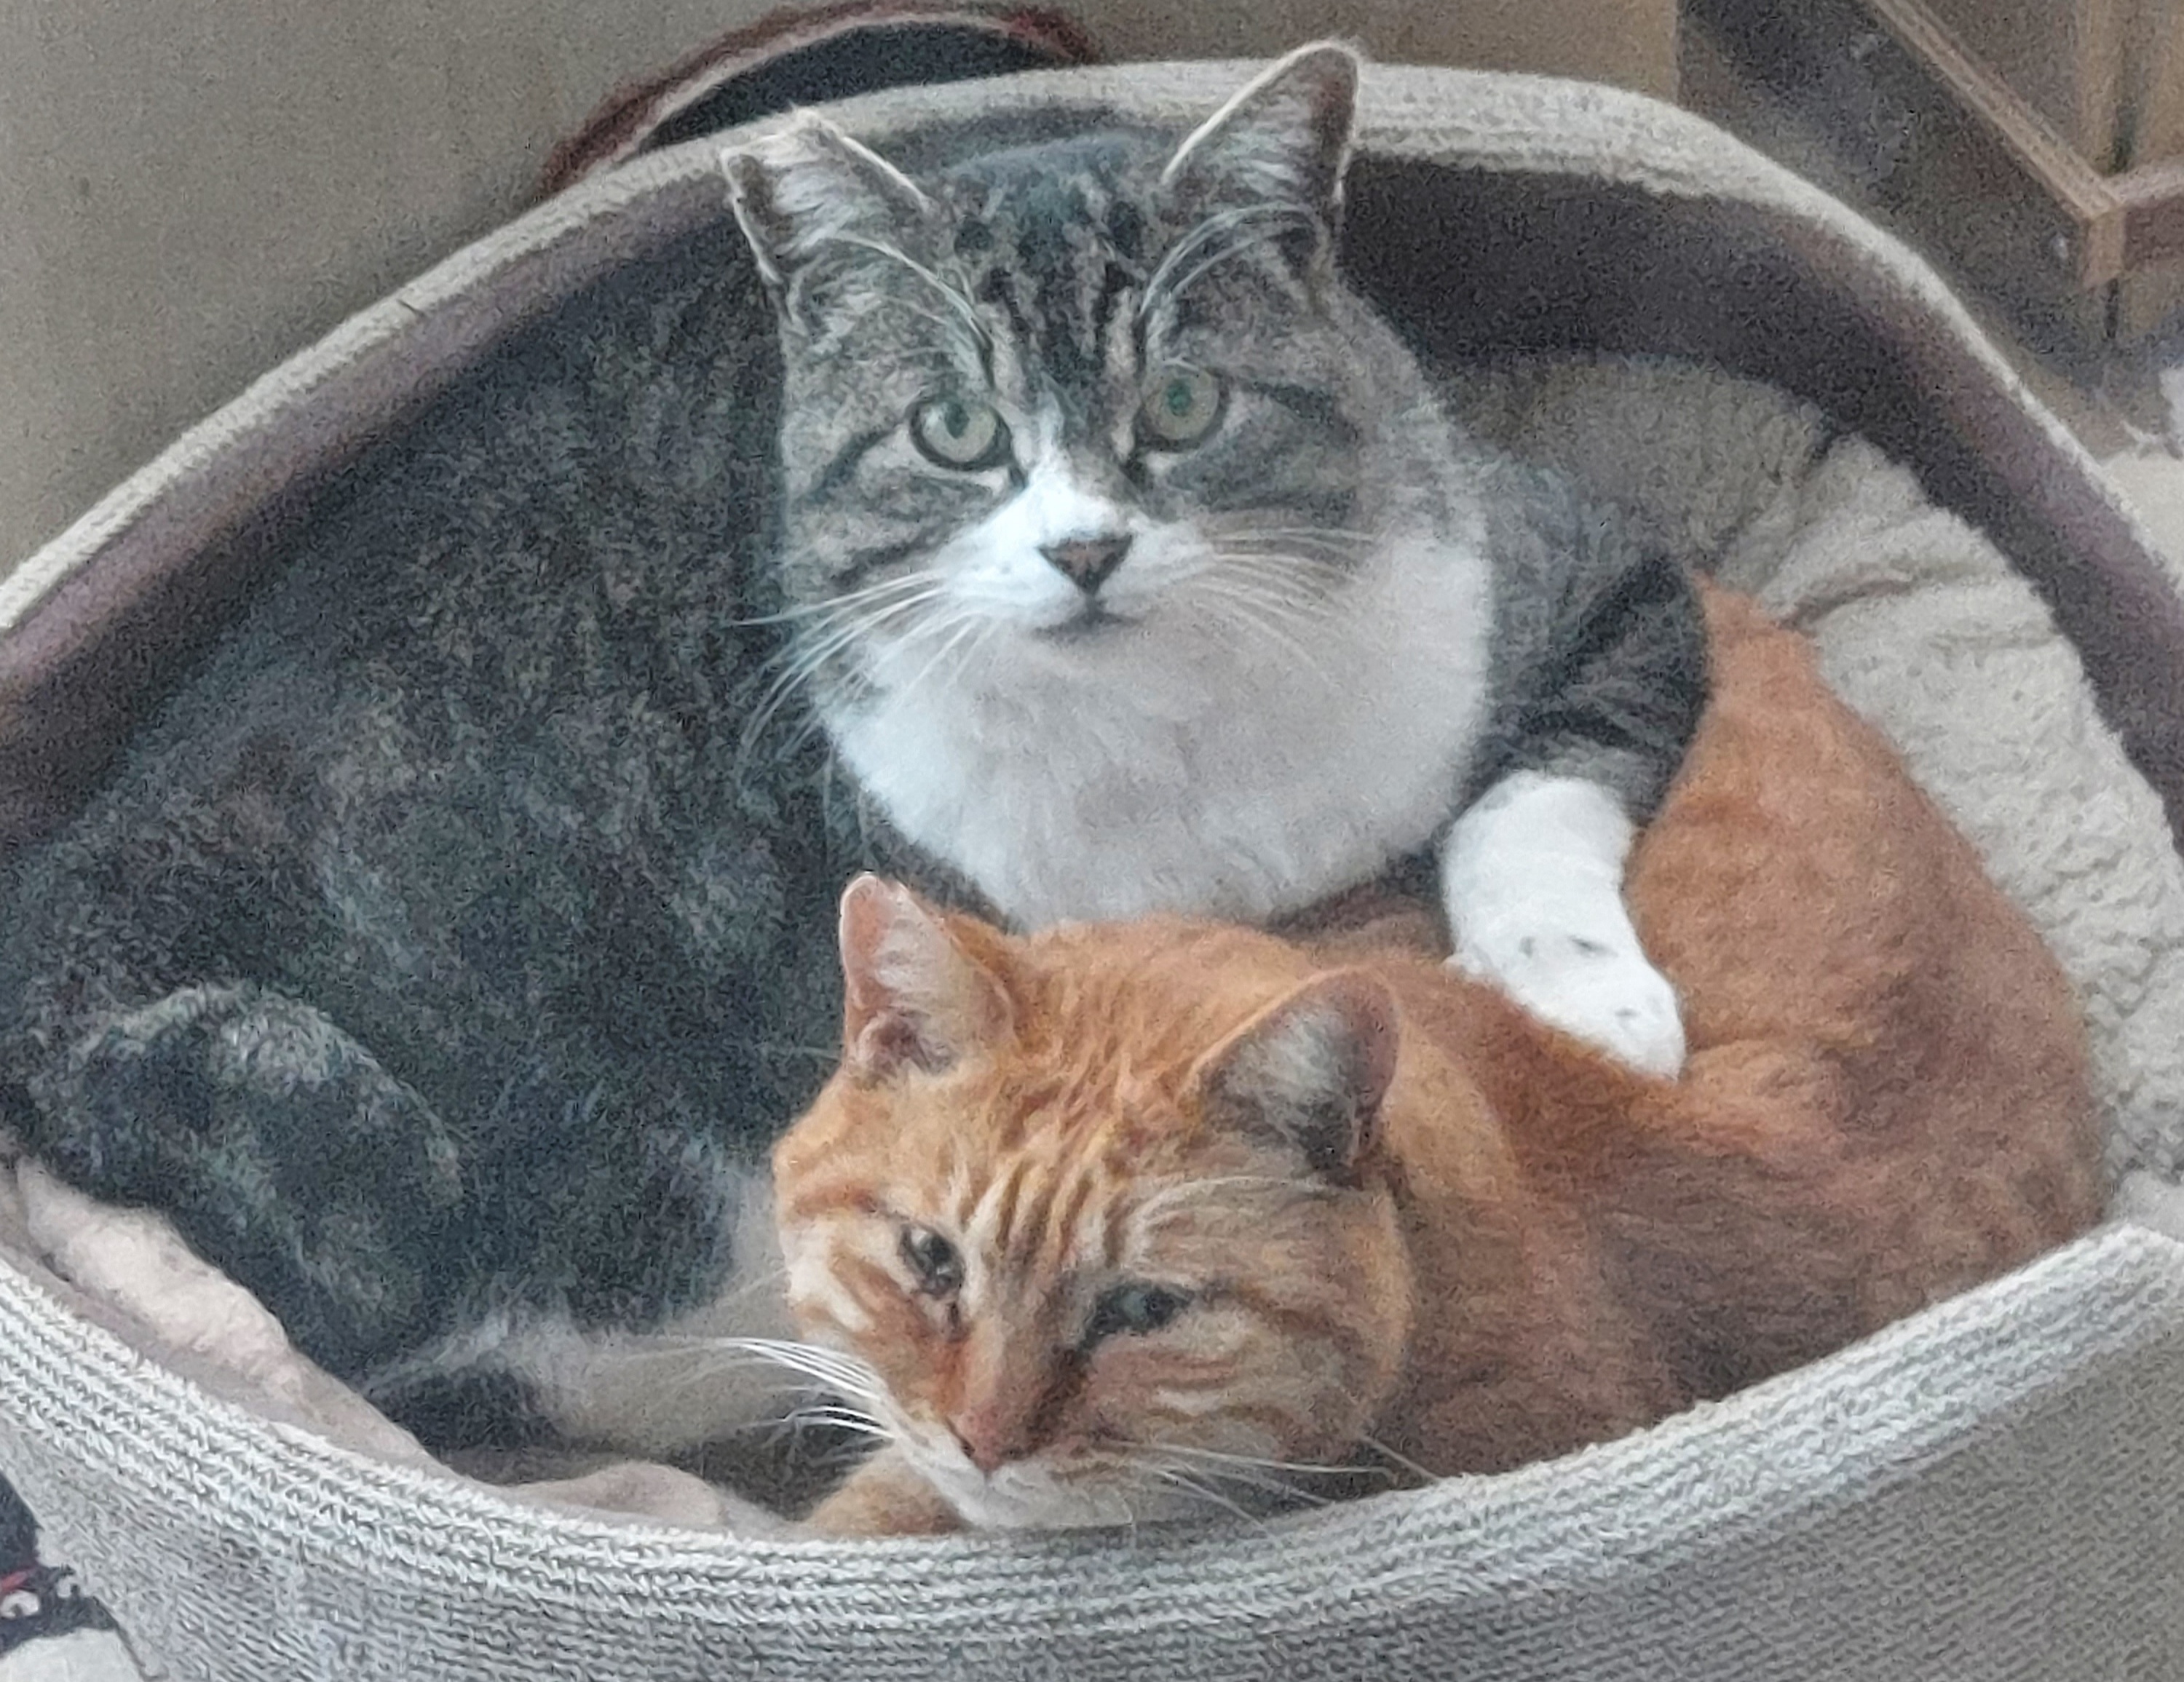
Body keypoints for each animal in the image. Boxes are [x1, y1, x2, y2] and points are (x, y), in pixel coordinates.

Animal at [720, 41, 1708, 1078]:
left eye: (1184, 403)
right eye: (954, 427)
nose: (1085, 549)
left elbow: (1533, 794)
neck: (1158, 706)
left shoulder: (1567, 567)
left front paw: (1584, 995)